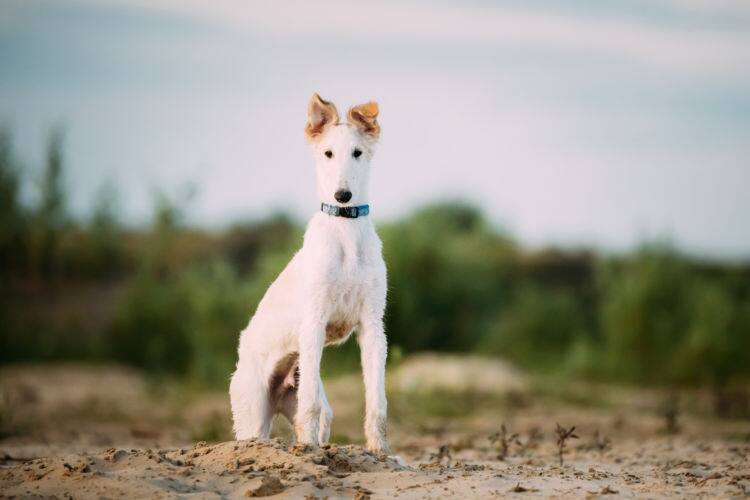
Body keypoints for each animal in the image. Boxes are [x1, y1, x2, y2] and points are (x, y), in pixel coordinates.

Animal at [229, 93, 390, 454]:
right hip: (252, 414)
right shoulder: (315, 319)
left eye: (357, 152)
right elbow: (310, 407)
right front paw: (311, 453)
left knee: (313, 414)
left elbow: (377, 404)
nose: (342, 196)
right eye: (327, 153)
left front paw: (382, 453)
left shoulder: (373, 325)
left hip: (303, 399)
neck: (346, 231)